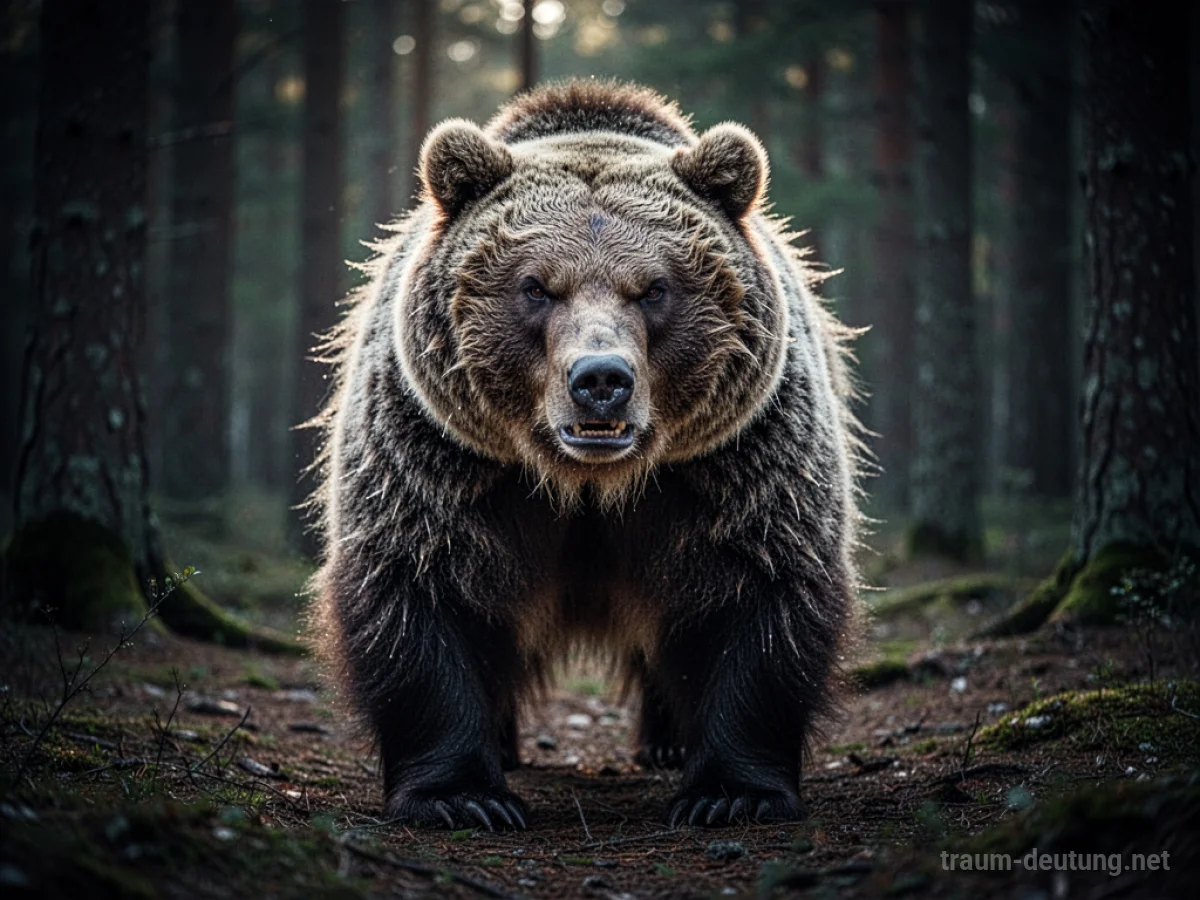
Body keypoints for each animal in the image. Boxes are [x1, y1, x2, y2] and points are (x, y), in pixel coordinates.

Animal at [310, 80, 862, 831]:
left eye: (654, 287)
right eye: (537, 286)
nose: (601, 378)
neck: (588, 484)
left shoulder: (734, 461)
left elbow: (759, 591)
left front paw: (731, 792)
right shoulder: (443, 459)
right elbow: (421, 591)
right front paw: (463, 796)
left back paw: (667, 744)